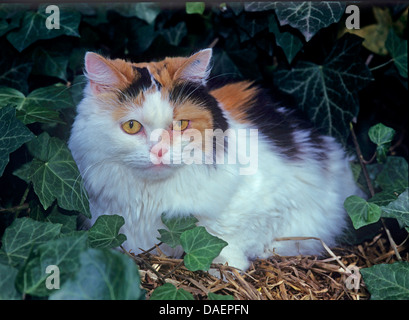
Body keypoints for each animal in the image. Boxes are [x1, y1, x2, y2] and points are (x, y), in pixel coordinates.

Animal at [69, 48, 360, 272]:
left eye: (181, 124)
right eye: (132, 126)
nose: (159, 151)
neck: (151, 198)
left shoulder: (276, 198)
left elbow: (226, 234)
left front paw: (225, 264)